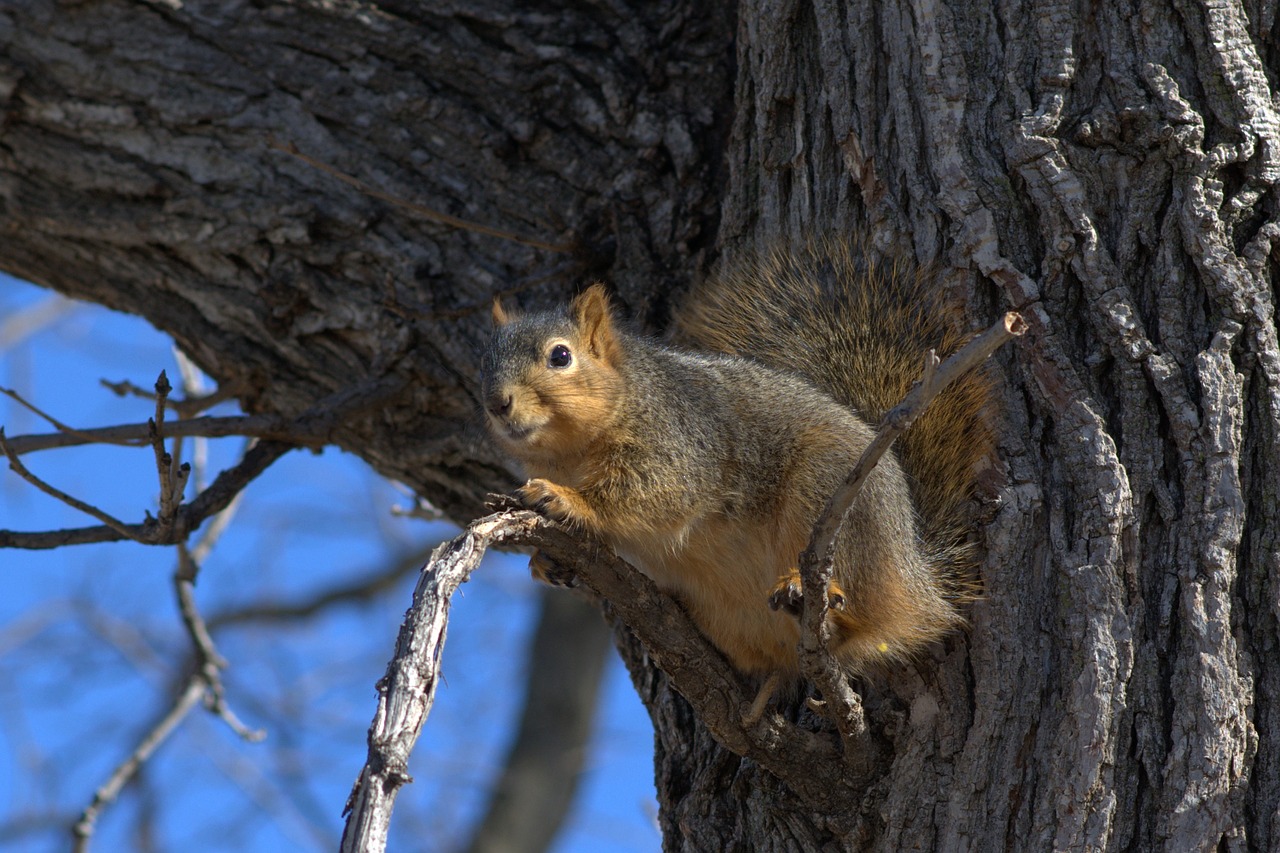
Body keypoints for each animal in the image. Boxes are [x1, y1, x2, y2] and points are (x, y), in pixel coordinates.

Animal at [481, 242, 988, 681]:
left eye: (560, 355)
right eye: (485, 361)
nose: (496, 403)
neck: (572, 452)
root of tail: (916, 574)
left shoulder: (681, 447)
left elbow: (651, 497)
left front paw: (567, 499)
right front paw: (546, 561)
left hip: (830, 495)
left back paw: (811, 590)